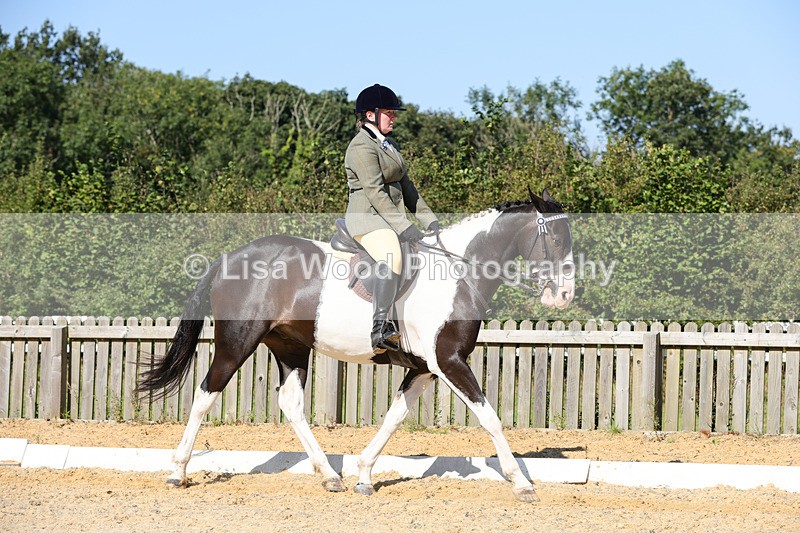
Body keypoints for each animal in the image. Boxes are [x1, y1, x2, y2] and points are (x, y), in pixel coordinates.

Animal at [136, 188, 574, 503]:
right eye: (554, 237)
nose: (565, 294)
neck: (457, 273)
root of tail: (229, 257)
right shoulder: (449, 362)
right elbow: (490, 418)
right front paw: (521, 483)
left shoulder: (424, 369)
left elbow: (394, 417)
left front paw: (363, 474)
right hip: (237, 343)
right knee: (205, 395)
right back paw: (177, 472)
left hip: (291, 346)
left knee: (291, 405)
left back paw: (331, 476)